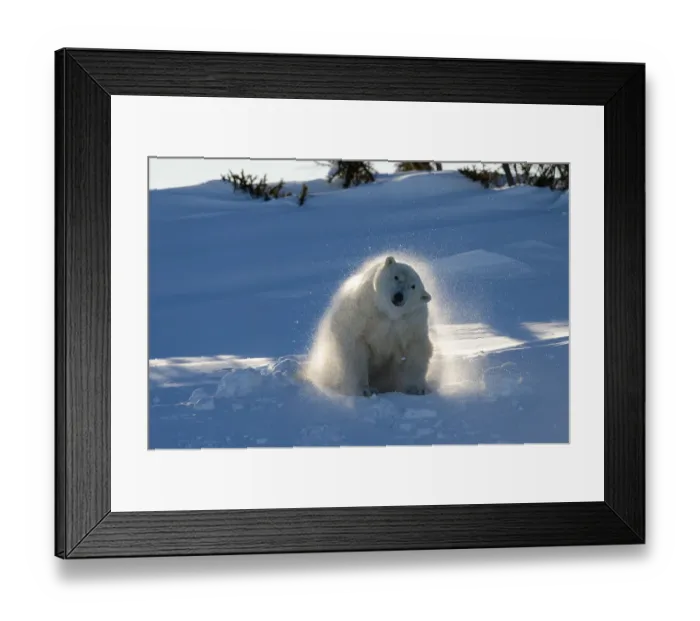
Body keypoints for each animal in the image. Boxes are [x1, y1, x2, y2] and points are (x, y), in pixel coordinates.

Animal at [305, 255, 434, 397]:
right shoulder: (363, 313)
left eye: (413, 286)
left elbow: (415, 351)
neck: (387, 313)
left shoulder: (411, 324)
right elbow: (356, 351)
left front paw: (416, 388)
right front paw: (365, 389)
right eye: (396, 277)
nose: (399, 296)